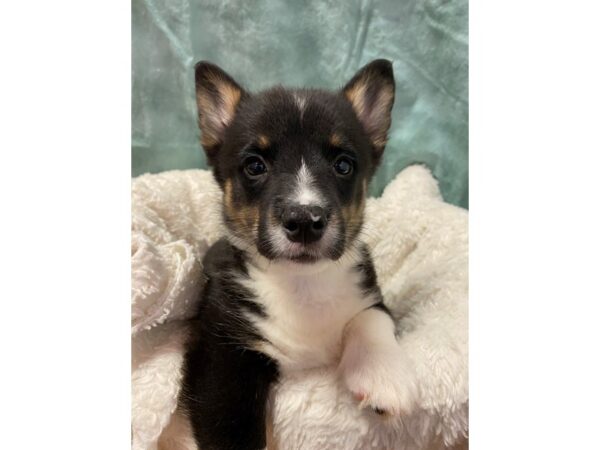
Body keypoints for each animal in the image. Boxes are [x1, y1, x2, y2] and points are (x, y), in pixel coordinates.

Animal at [178, 59, 412, 450]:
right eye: (255, 166)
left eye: (343, 165)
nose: (304, 221)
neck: (302, 285)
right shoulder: (222, 357)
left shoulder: (371, 296)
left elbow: (372, 318)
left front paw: (382, 377)